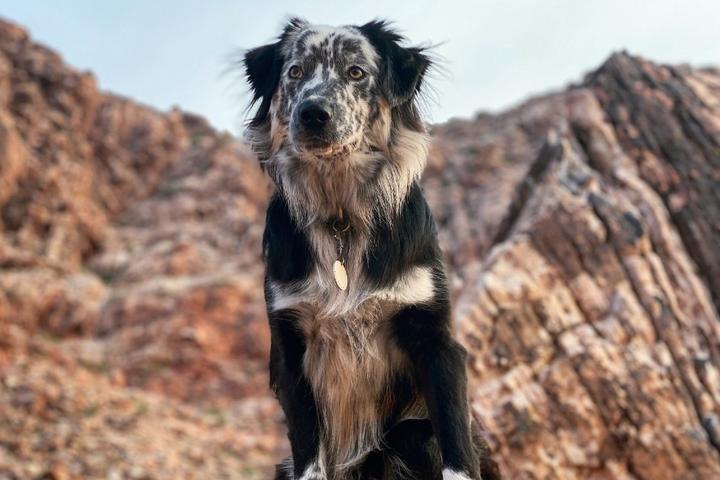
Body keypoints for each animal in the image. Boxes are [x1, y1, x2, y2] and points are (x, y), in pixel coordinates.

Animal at [242, 16, 500, 478]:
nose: (313, 114)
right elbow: (310, 457)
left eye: (356, 72)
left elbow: (455, 447)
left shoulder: (435, 338)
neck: (341, 216)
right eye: (295, 72)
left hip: (408, 433)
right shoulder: (290, 350)